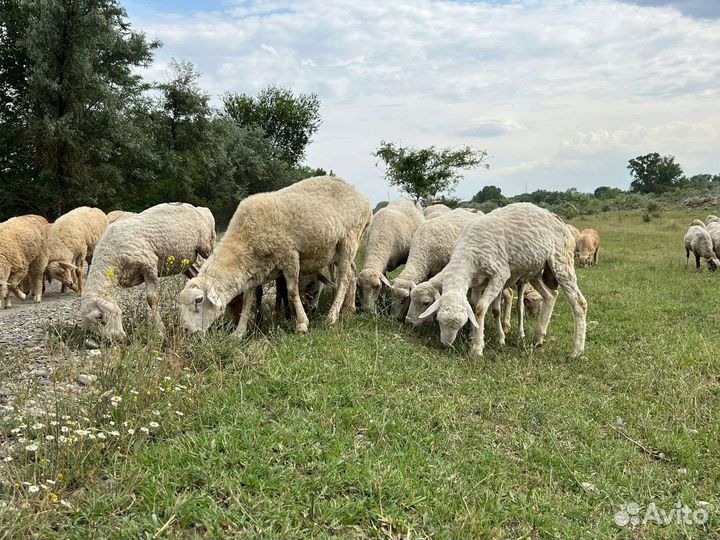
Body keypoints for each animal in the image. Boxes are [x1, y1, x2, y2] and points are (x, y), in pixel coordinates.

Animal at [79, 203, 216, 341]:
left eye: (100, 317)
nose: (117, 340)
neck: (110, 256)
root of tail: (200, 208)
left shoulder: (149, 265)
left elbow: (151, 299)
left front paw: (160, 331)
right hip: (185, 262)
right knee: (195, 276)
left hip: (206, 245)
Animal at [177, 176, 372, 338]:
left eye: (198, 300)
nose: (186, 331)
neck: (245, 240)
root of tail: (364, 200)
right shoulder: (254, 272)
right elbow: (248, 300)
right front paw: (239, 333)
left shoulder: (290, 257)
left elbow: (292, 291)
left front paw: (302, 324)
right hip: (341, 248)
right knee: (353, 272)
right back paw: (348, 308)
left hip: (349, 239)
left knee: (344, 278)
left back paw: (332, 316)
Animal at [419, 203, 587, 359]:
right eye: (439, 320)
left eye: (459, 324)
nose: (446, 345)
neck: (469, 254)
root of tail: (557, 218)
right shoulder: (478, 283)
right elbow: (473, 306)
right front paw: (474, 335)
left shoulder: (499, 275)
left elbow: (480, 308)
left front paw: (477, 348)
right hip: (535, 271)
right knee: (550, 296)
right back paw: (538, 338)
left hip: (561, 261)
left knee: (579, 303)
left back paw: (577, 351)